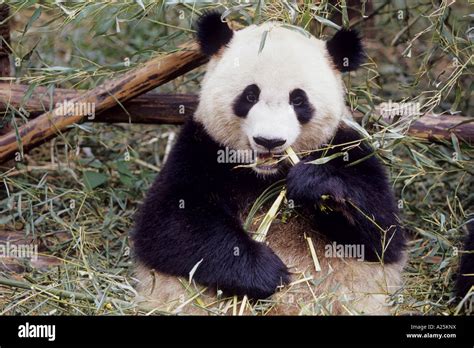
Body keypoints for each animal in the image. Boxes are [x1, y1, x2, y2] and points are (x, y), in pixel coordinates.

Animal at [130, 12, 408, 314]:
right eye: (250, 95)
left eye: (298, 99)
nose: (269, 140)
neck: (266, 175)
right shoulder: (200, 147)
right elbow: (168, 223)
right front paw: (266, 272)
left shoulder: (347, 145)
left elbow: (383, 234)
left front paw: (316, 184)